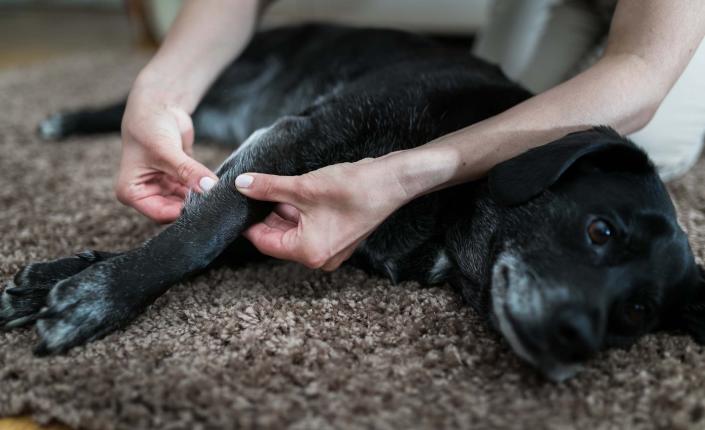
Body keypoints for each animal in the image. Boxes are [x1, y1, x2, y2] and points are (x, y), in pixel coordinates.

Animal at [1, 24, 704, 380]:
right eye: (600, 231)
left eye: (637, 313)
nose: (578, 340)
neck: (451, 212)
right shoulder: (295, 138)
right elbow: (199, 234)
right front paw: (96, 300)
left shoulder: (286, 213)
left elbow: (208, 241)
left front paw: (54, 282)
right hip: (222, 81)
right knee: (140, 100)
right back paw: (68, 120)